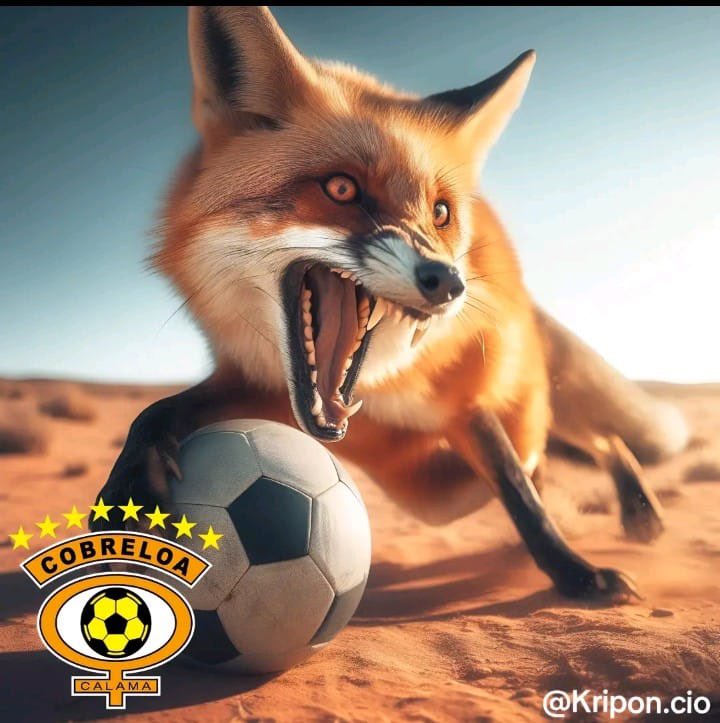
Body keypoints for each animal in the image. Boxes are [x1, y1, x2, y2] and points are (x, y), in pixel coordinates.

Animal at [93, 6, 689, 601]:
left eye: (441, 213)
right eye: (341, 189)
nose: (449, 283)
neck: (377, 390)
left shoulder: (468, 405)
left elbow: (523, 498)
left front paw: (576, 574)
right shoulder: (260, 389)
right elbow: (153, 413)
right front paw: (123, 496)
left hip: (520, 418)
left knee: (595, 438)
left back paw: (638, 510)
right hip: (439, 487)